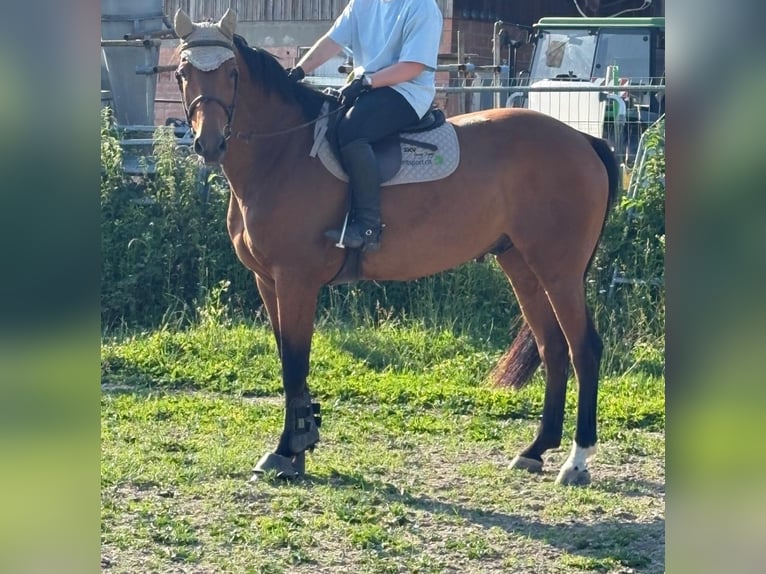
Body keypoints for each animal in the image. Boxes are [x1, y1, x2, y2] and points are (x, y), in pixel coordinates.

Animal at [172, 9, 619, 486]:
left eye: (232, 73)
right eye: (182, 74)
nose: (209, 143)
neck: (283, 153)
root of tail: (583, 140)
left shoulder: (295, 281)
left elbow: (295, 363)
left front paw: (286, 451)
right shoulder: (267, 282)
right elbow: (288, 364)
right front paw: (300, 446)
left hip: (560, 271)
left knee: (583, 350)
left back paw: (577, 460)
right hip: (522, 266)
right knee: (553, 348)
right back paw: (536, 449)